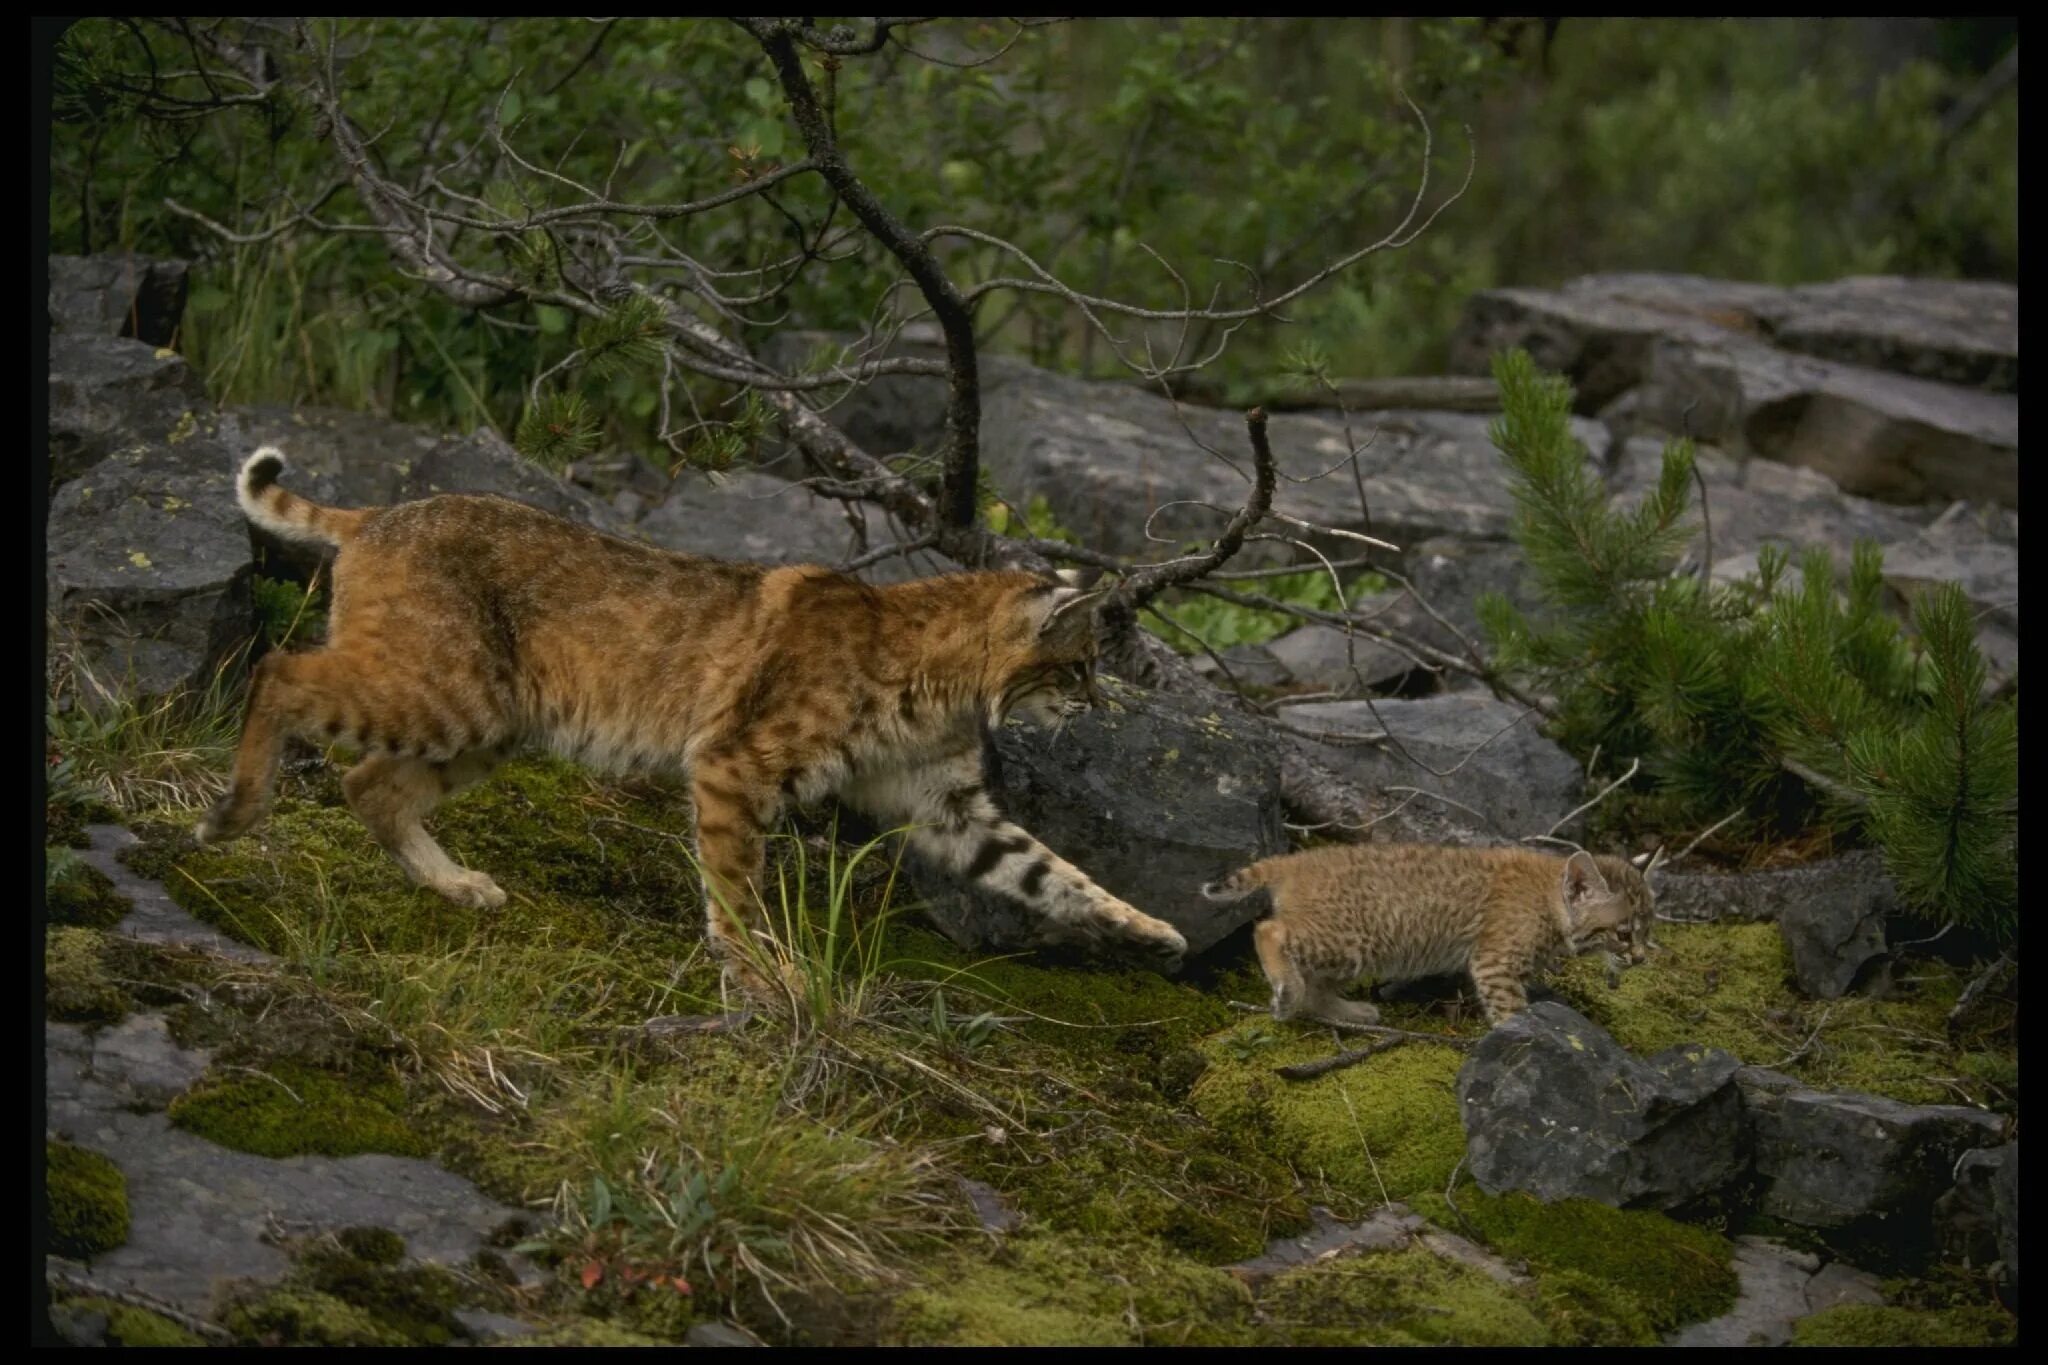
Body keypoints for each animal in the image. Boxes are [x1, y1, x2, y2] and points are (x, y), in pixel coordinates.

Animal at [199, 454, 1196, 998]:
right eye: (1081, 665)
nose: (1099, 705)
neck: (946, 678)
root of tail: (386, 508)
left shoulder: (944, 802)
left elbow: (1045, 869)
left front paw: (1150, 930)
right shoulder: (733, 762)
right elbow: (736, 887)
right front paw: (762, 979)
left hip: (492, 717)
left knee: (367, 780)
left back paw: (457, 886)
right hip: (453, 689)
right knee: (278, 671)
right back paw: (234, 812)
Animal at [1204, 843, 1654, 1023]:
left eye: (1648, 929)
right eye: (1623, 933)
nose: (1641, 959)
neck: (1550, 895)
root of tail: (1299, 859)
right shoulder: (1494, 962)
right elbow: (1511, 1009)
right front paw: (1524, 1033)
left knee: (1314, 983)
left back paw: (1346, 1011)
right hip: (1352, 936)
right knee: (1268, 929)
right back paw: (1287, 991)